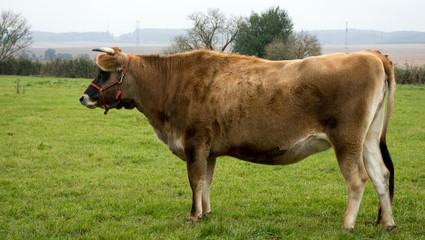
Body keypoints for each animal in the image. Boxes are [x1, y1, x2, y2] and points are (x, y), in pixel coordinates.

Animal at [81, 47, 396, 232]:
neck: (170, 84)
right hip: (367, 139)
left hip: (347, 140)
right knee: (381, 175)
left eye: (102, 72)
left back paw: (347, 225)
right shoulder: (208, 150)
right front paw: (206, 214)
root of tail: (371, 54)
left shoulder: (195, 143)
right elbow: (206, 182)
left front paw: (193, 216)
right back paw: (388, 223)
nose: (84, 96)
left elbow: (194, 180)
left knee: (357, 179)